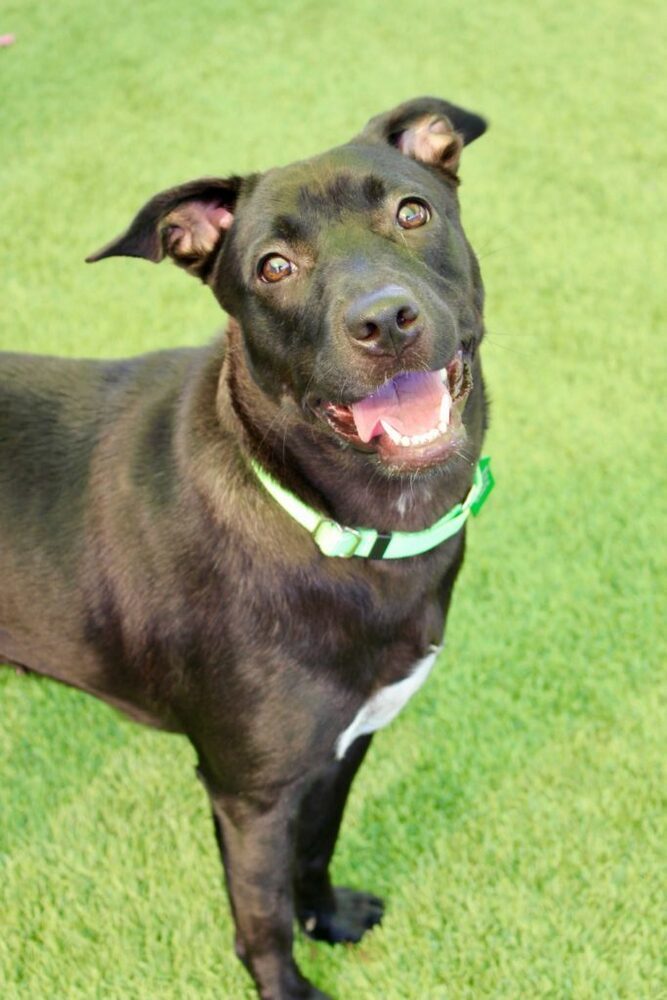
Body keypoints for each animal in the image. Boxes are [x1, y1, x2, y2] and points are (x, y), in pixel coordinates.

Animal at [0, 99, 490, 1000]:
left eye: (412, 213)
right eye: (272, 267)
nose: (384, 321)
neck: (329, 524)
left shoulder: (344, 743)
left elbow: (315, 851)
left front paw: (328, 919)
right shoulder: (248, 791)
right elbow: (260, 915)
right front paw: (288, 986)